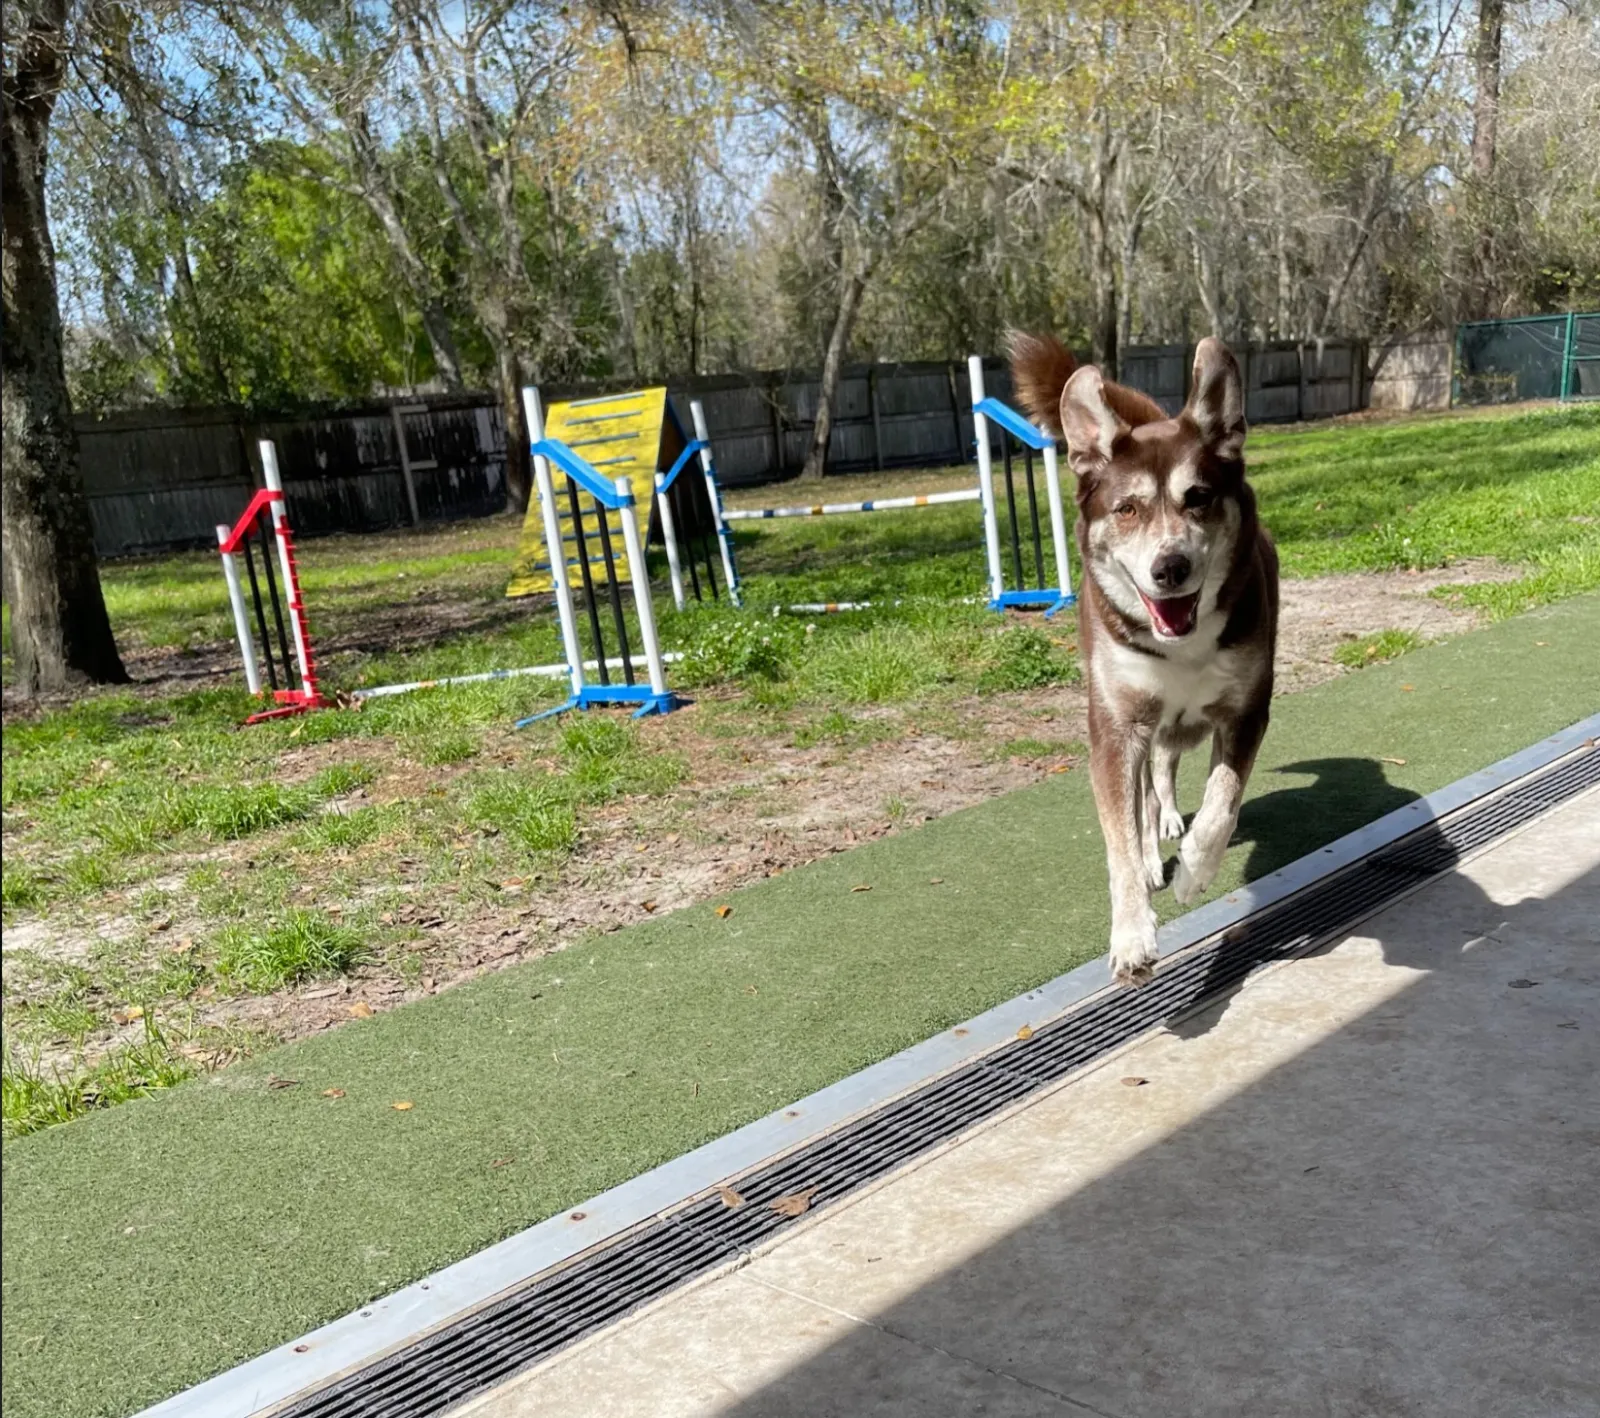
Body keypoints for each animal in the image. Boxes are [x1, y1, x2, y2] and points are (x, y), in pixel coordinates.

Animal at [1011, 332, 1273, 985]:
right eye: (1126, 508)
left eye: (1198, 498)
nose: (1170, 567)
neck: (1180, 645)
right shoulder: (1116, 729)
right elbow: (1121, 840)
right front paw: (1132, 931)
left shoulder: (1247, 708)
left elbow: (1223, 801)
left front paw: (1196, 869)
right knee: (1147, 793)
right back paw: (1157, 847)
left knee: (1170, 774)